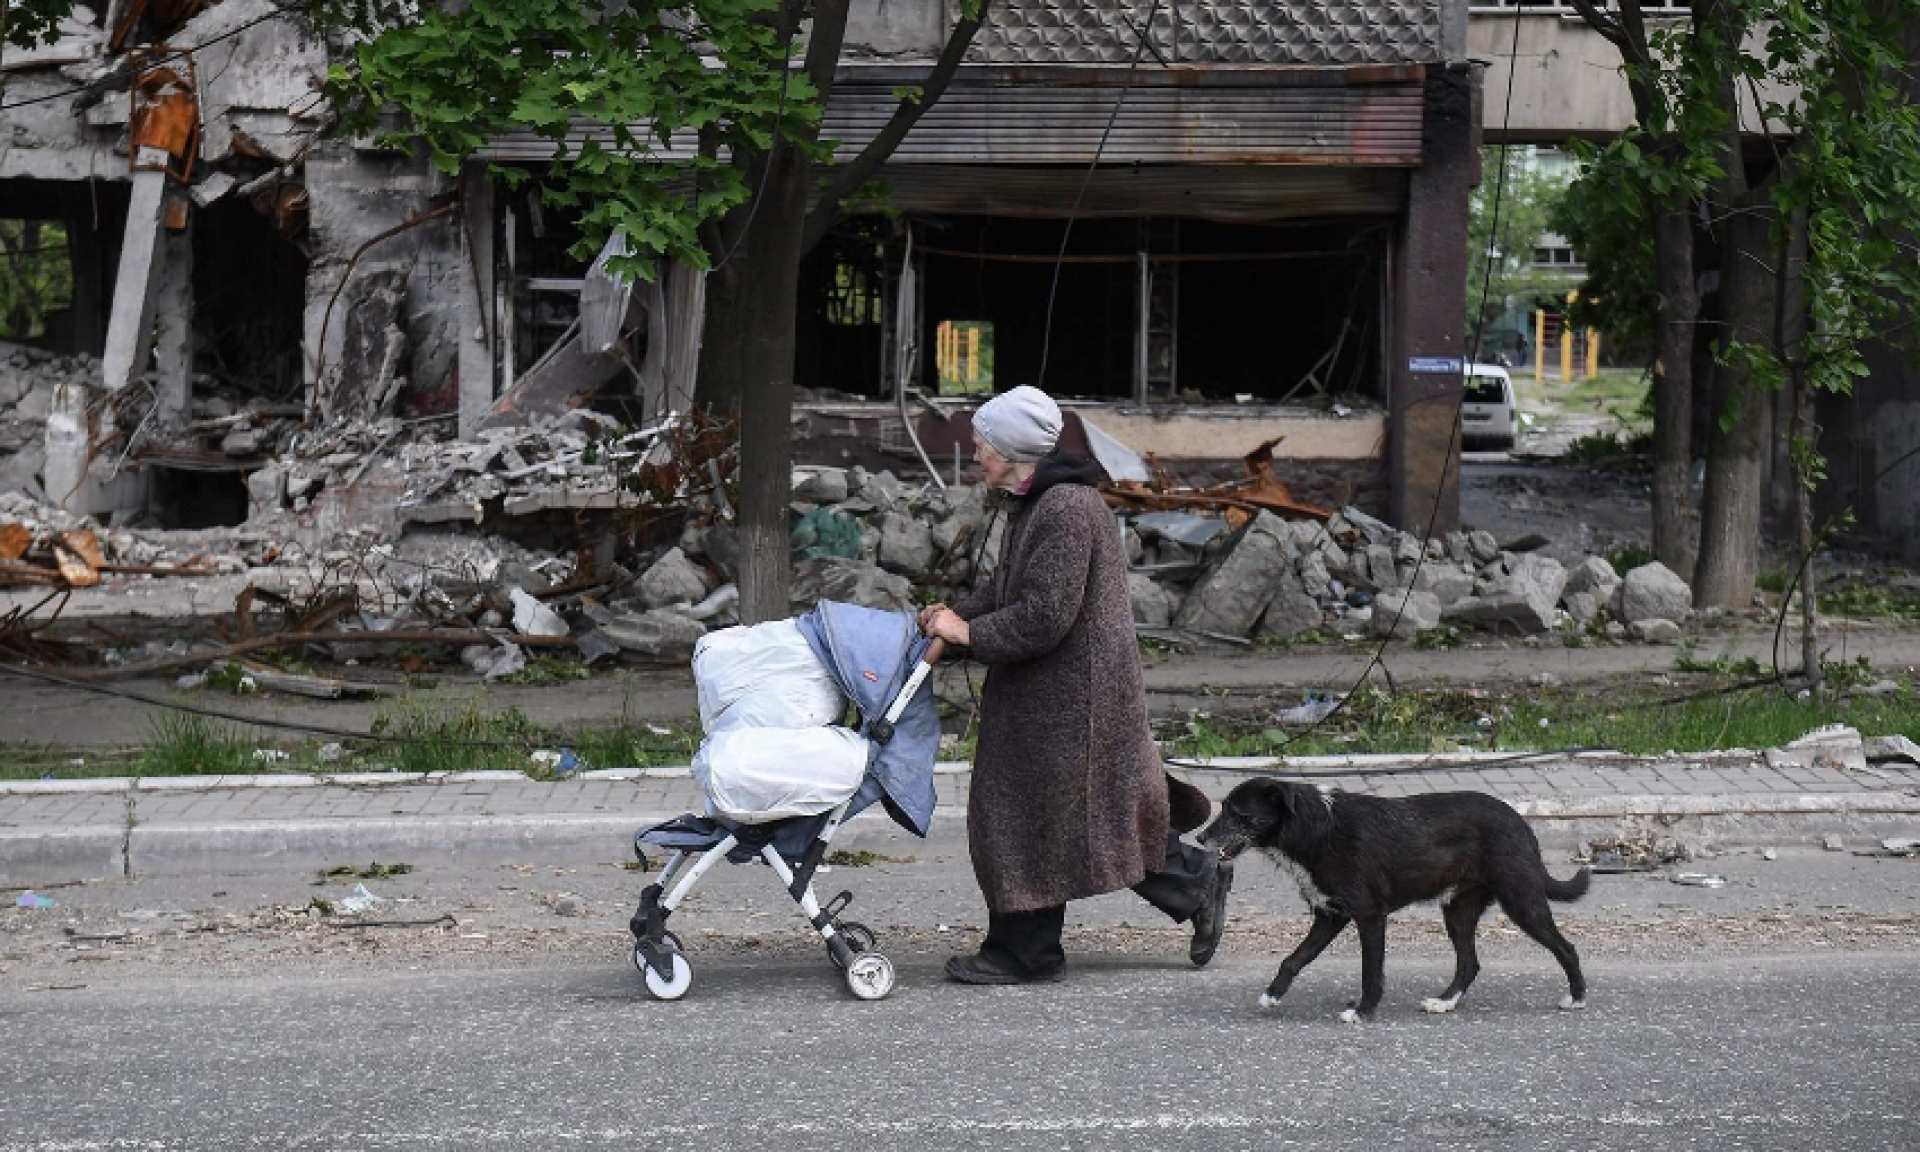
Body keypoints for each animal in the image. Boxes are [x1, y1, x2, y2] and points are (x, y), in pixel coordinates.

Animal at [1198, 779, 1589, 1021]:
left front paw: (1362, 1012)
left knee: (1566, 948)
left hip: (1521, 900)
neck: (1316, 827)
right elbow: (1294, 959)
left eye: (1239, 813)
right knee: (1469, 962)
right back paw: (1444, 1002)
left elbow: (1370, 970)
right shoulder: (1330, 915)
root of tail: (1521, 822)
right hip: (1458, 910)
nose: (1201, 838)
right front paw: (1273, 994)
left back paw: (1577, 997)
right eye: (1223, 807)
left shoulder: (1370, 915)